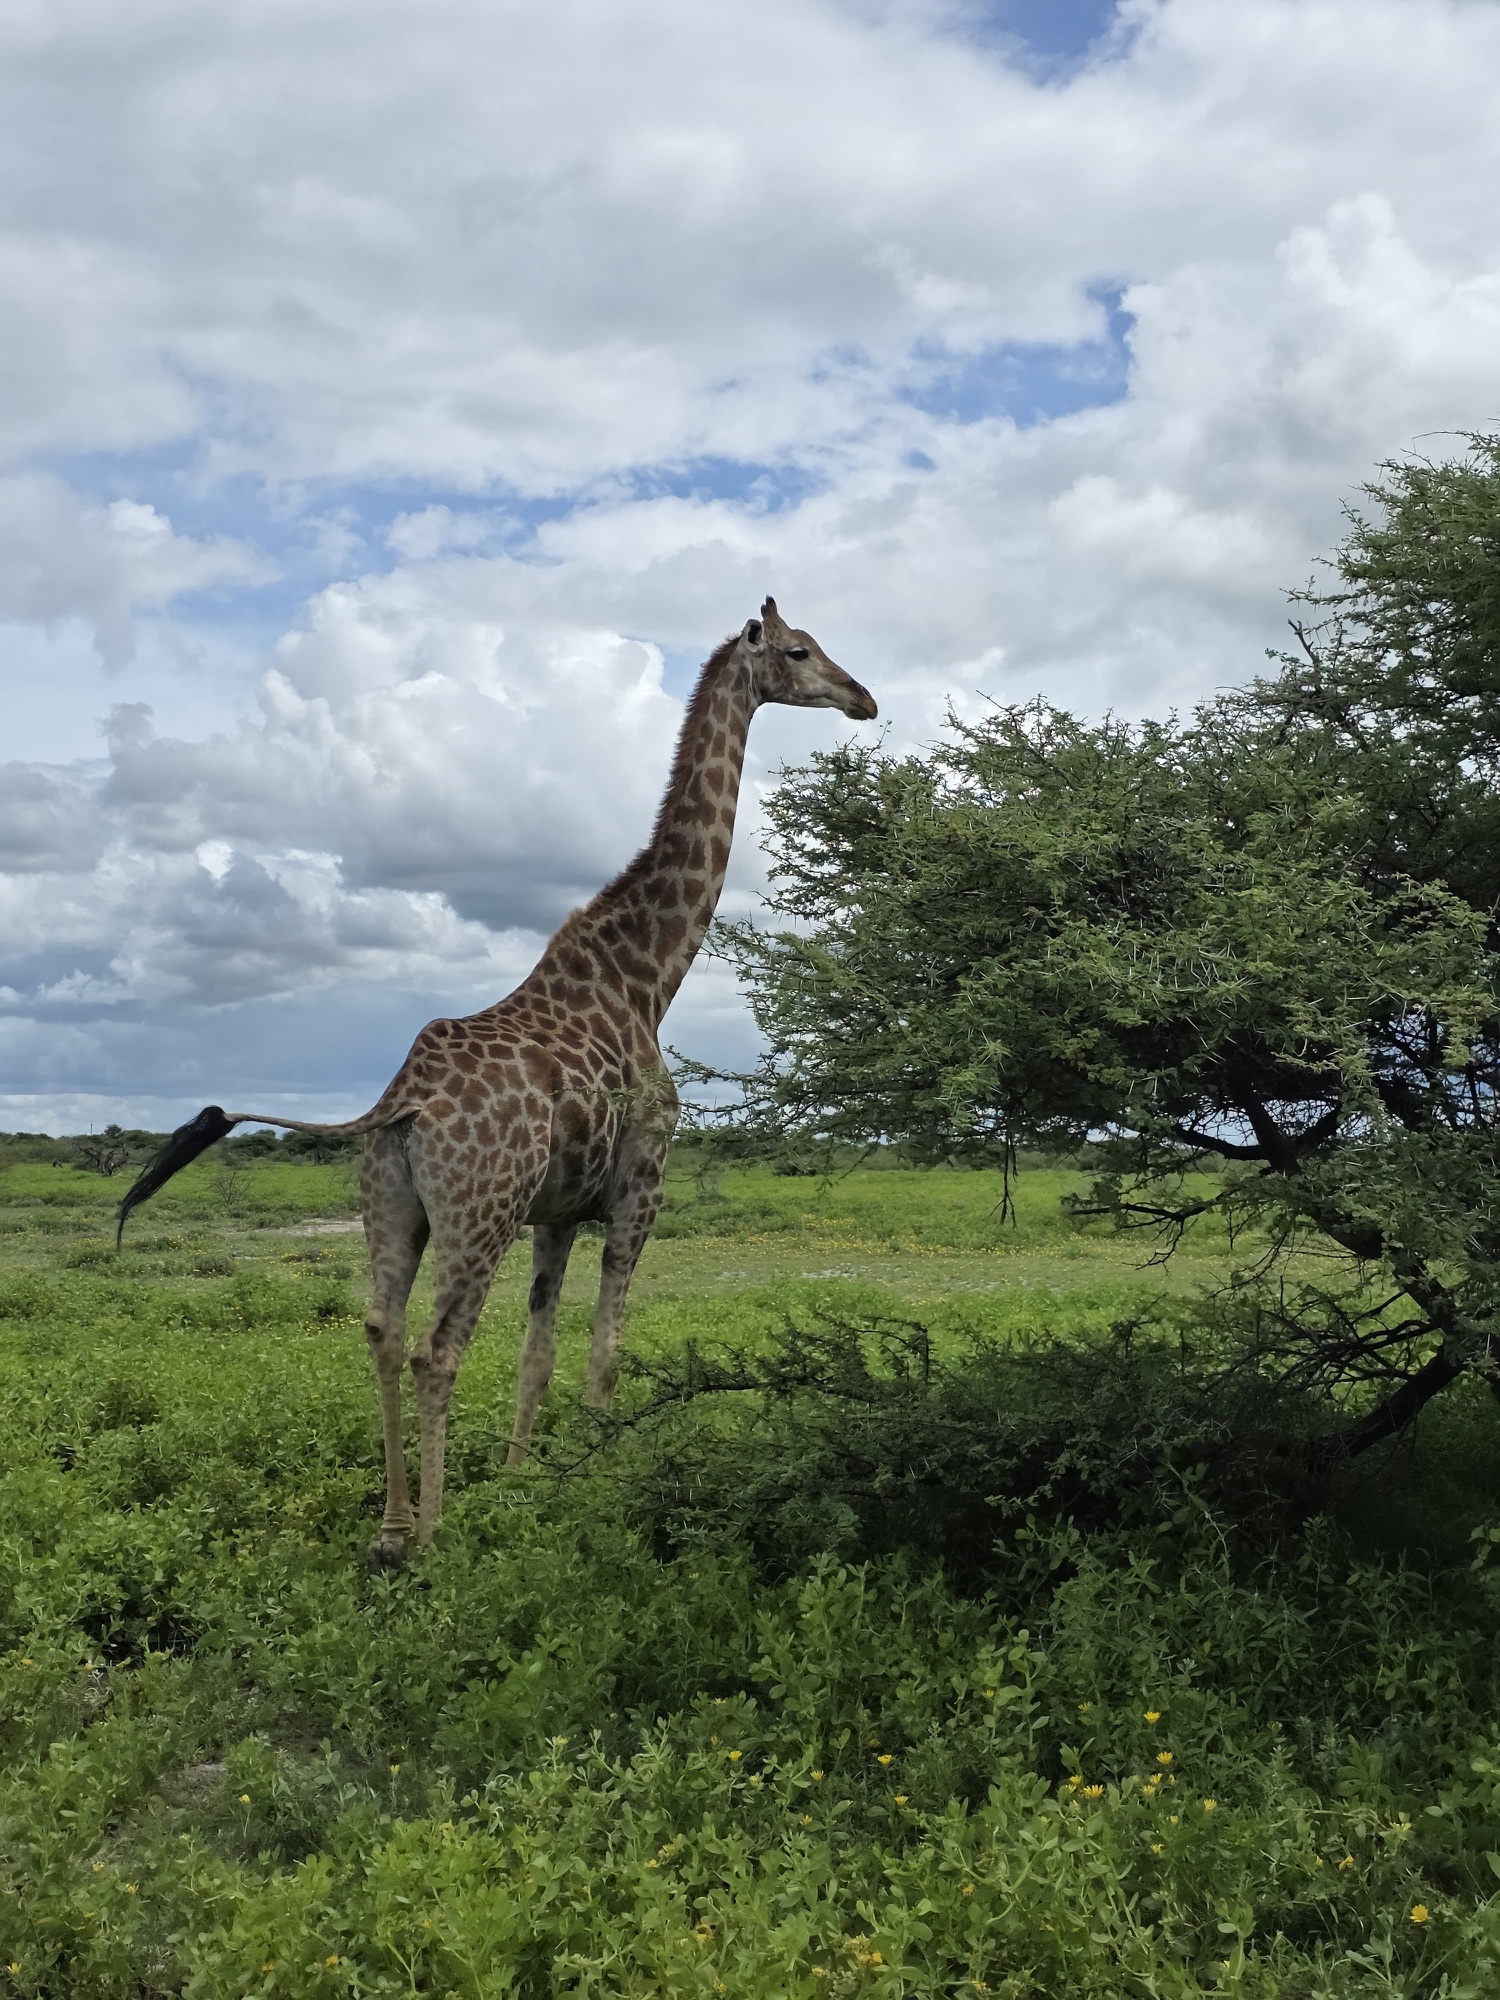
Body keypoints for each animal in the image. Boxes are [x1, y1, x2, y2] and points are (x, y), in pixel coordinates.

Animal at [117, 599, 877, 1562]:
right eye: (800, 652)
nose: (865, 699)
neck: (649, 975)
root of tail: (401, 1101)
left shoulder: (557, 1212)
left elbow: (537, 1353)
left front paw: (523, 1481)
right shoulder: (639, 1186)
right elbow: (604, 1351)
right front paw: (599, 1481)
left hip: (391, 1204)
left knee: (381, 1330)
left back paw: (391, 1526)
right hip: (480, 1212)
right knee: (438, 1349)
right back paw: (434, 1534)